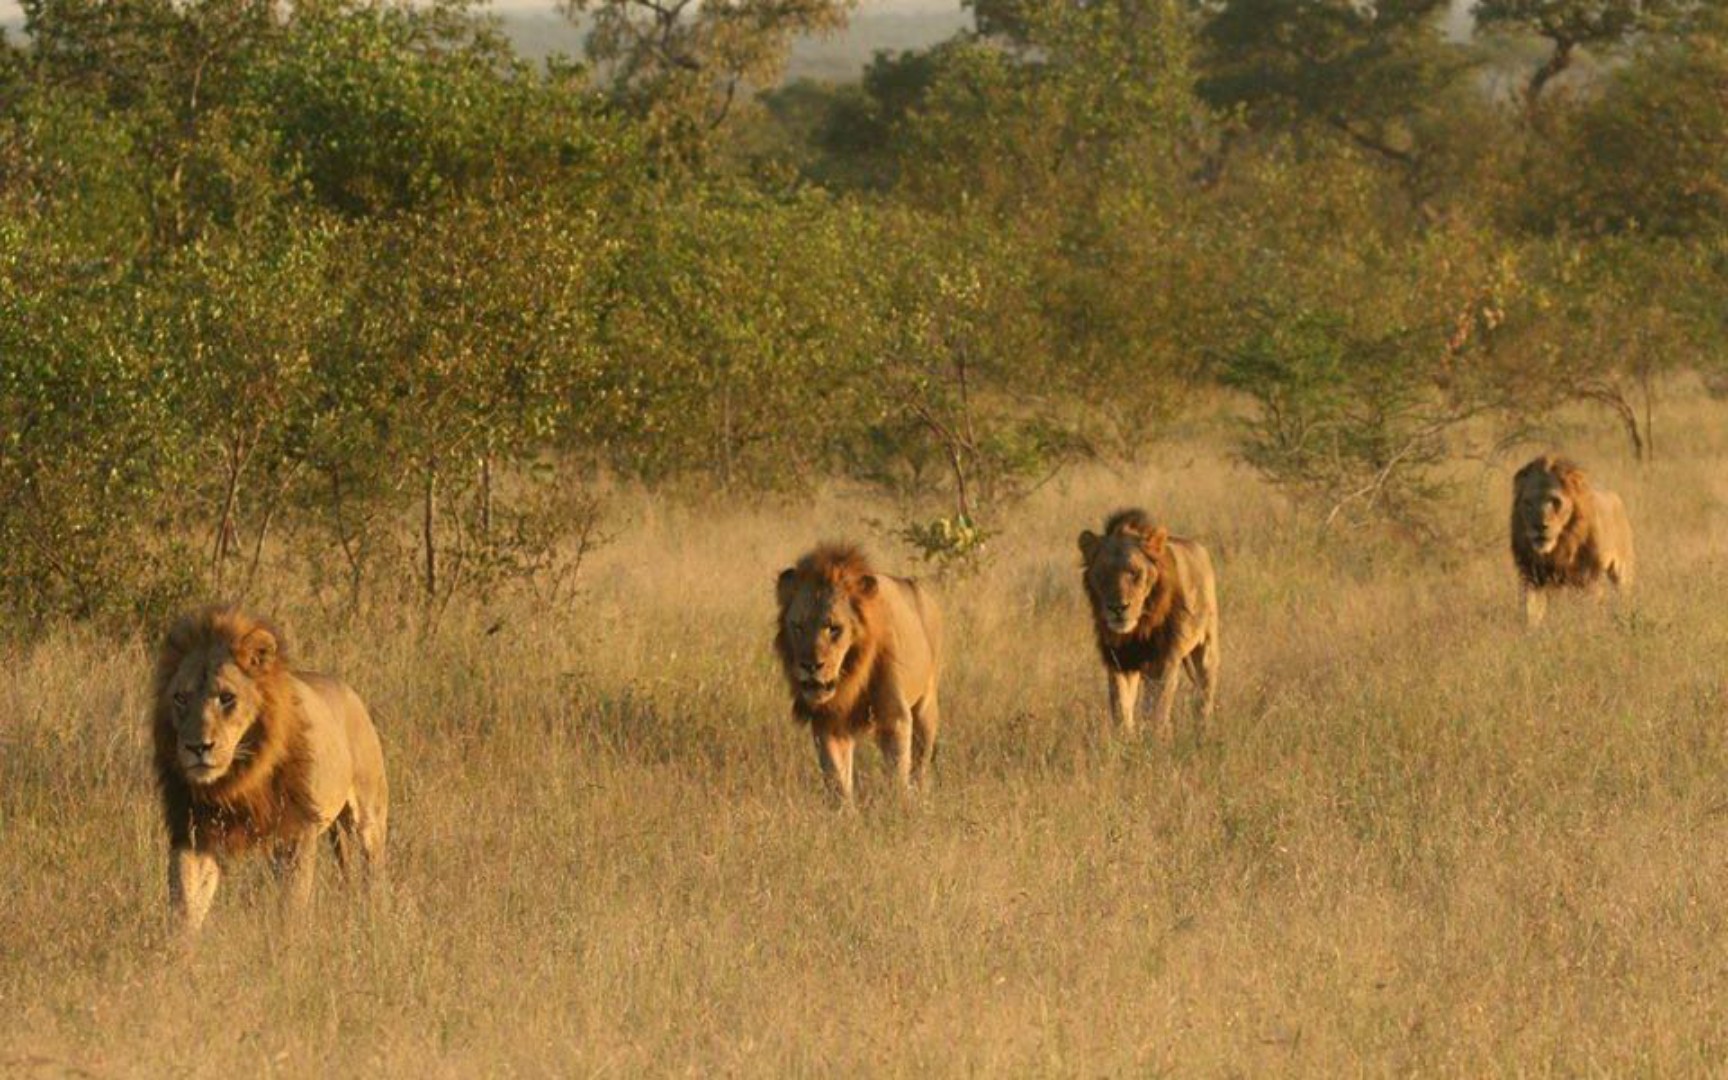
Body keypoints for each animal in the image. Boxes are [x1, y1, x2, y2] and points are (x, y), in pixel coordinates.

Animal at [152, 608, 388, 933]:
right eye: (180, 698)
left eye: (226, 697)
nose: (197, 747)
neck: (239, 778)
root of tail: (349, 691)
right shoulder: (194, 831)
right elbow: (185, 903)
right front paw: (178, 946)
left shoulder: (294, 831)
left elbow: (291, 906)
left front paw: (288, 942)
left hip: (368, 815)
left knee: (372, 872)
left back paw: (374, 919)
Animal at [777, 542, 946, 805]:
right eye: (798, 626)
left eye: (833, 628)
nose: (810, 665)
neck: (851, 674)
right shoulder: (829, 722)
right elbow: (837, 778)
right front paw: (844, 813)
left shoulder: (894, 717)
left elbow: (897, 773)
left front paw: (897, 808)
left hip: (926, 706)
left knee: (921, 764)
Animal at [1071, 508, 1223, 736]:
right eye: (1103, 574)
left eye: (1135, 573)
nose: (1118, 607)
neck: (1136, 630)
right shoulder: (1119, 662)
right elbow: (1121, 709)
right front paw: (1125, 741)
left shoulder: (1164, 661)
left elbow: (1155, 711)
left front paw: (1153, 740)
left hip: (1206, 647)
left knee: (1203, 699)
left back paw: (1202, 732)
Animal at [1513, 452, 1631, 628]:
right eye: (1528, 503)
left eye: (1555, 501)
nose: (1539, 526)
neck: (1560, 545)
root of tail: (1617, 497)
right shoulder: (1531, 575)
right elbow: (1530, 612)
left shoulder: (1589, 578)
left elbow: (1589, 613)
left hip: (1621, 570)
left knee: (1622, 594)